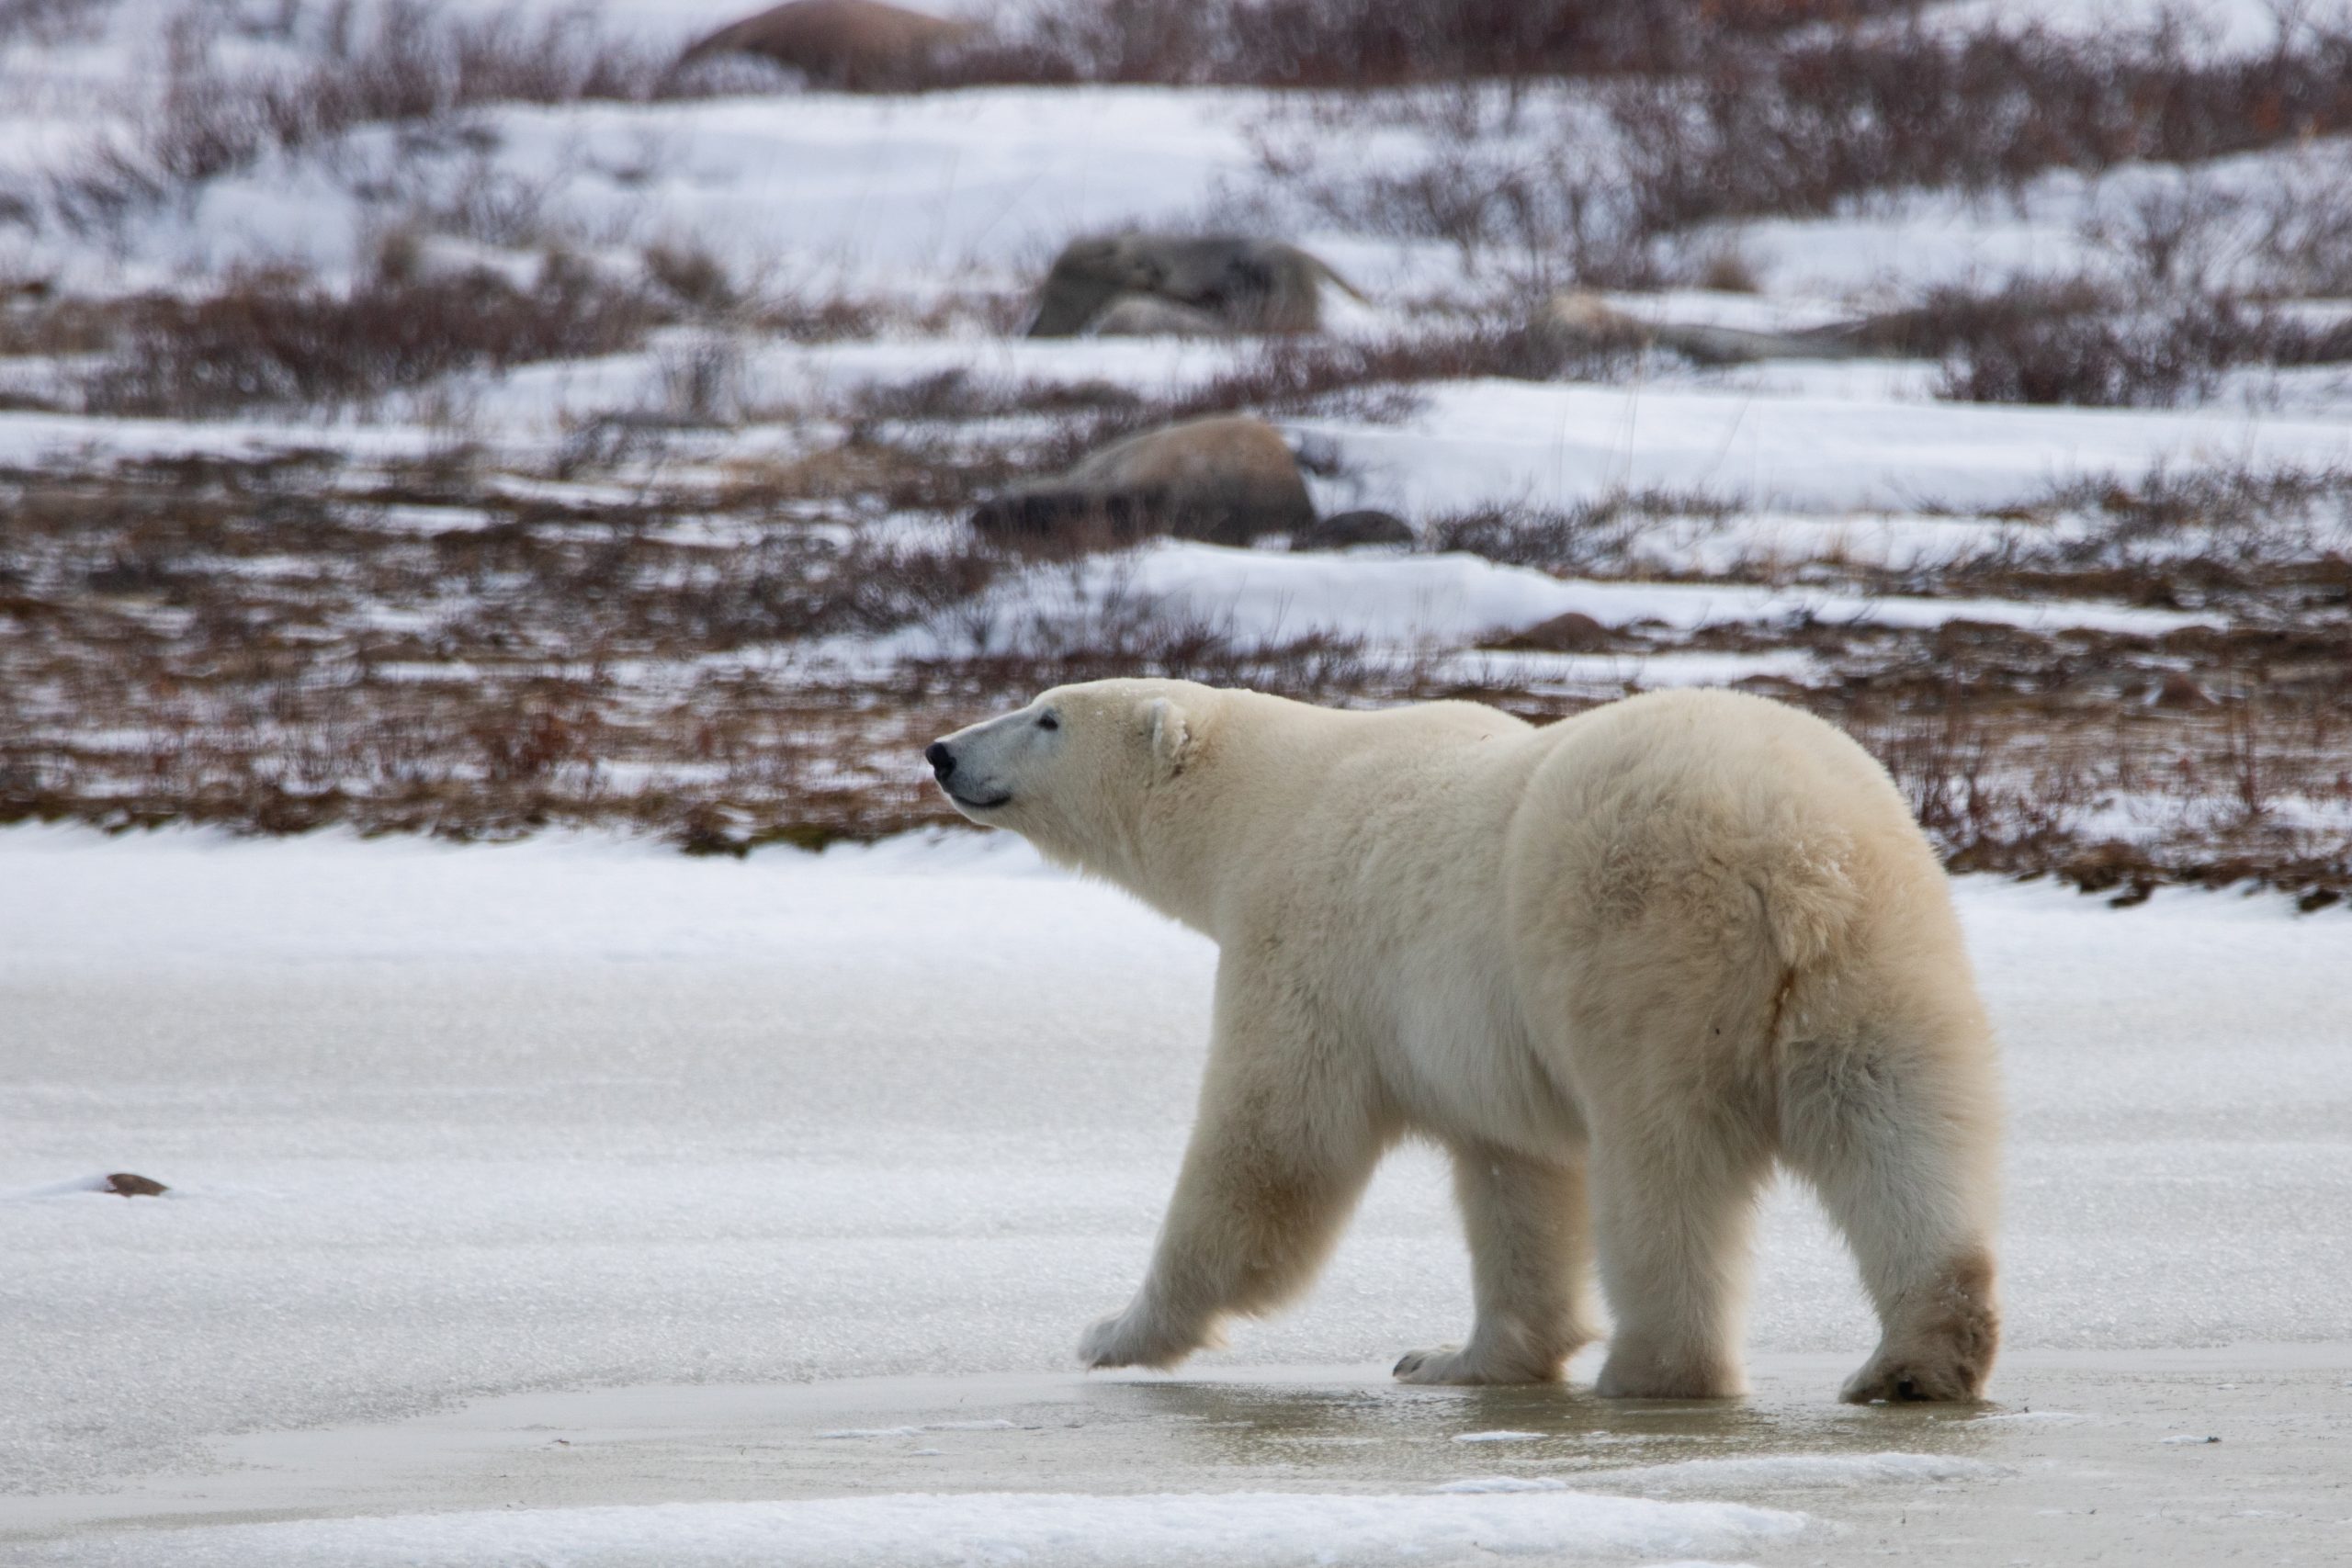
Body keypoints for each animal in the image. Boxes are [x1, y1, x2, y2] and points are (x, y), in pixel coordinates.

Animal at [924, 680, 2001, 1402]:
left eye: (1048, 716)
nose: (940, 750)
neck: (1270, 796)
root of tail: (1796, 852)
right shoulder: (1477, 1041)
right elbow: (1512, 1179)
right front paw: (1455, 1357)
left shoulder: (1305, 940)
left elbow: (1270, 1145)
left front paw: (1113, 1331)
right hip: (1881, 959)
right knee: (1898, 1133)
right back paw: (1918, 1357)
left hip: (1642, 947)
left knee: (1664, 1163)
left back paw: (1653, 1369)